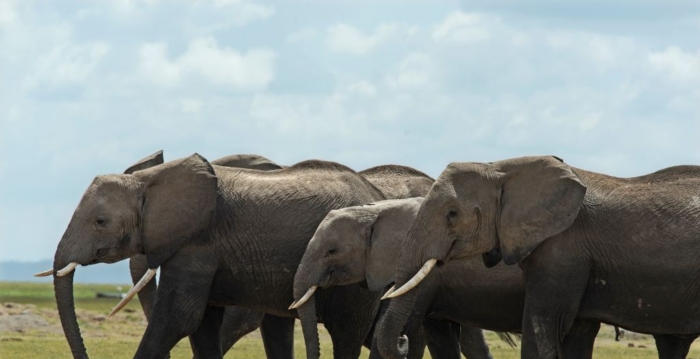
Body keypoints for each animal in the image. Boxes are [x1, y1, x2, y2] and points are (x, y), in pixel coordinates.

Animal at [49, 155, 392, 359]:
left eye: (100, 221)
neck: (150, 178)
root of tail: (376, 194)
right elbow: (201, 324)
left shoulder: (198, 244)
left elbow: (178, 318)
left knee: (347, 334)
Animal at [292, 197, 520, 359]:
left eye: (331, 251)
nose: (403, 341)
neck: (379, 210)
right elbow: (440, 338)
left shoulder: (425, 274)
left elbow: (388, 329)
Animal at [380, 156, 700, 359]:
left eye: (452, 214)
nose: (403, 341)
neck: (502, 168)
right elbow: (577, 336)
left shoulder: (563, 250)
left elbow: (541, 326)